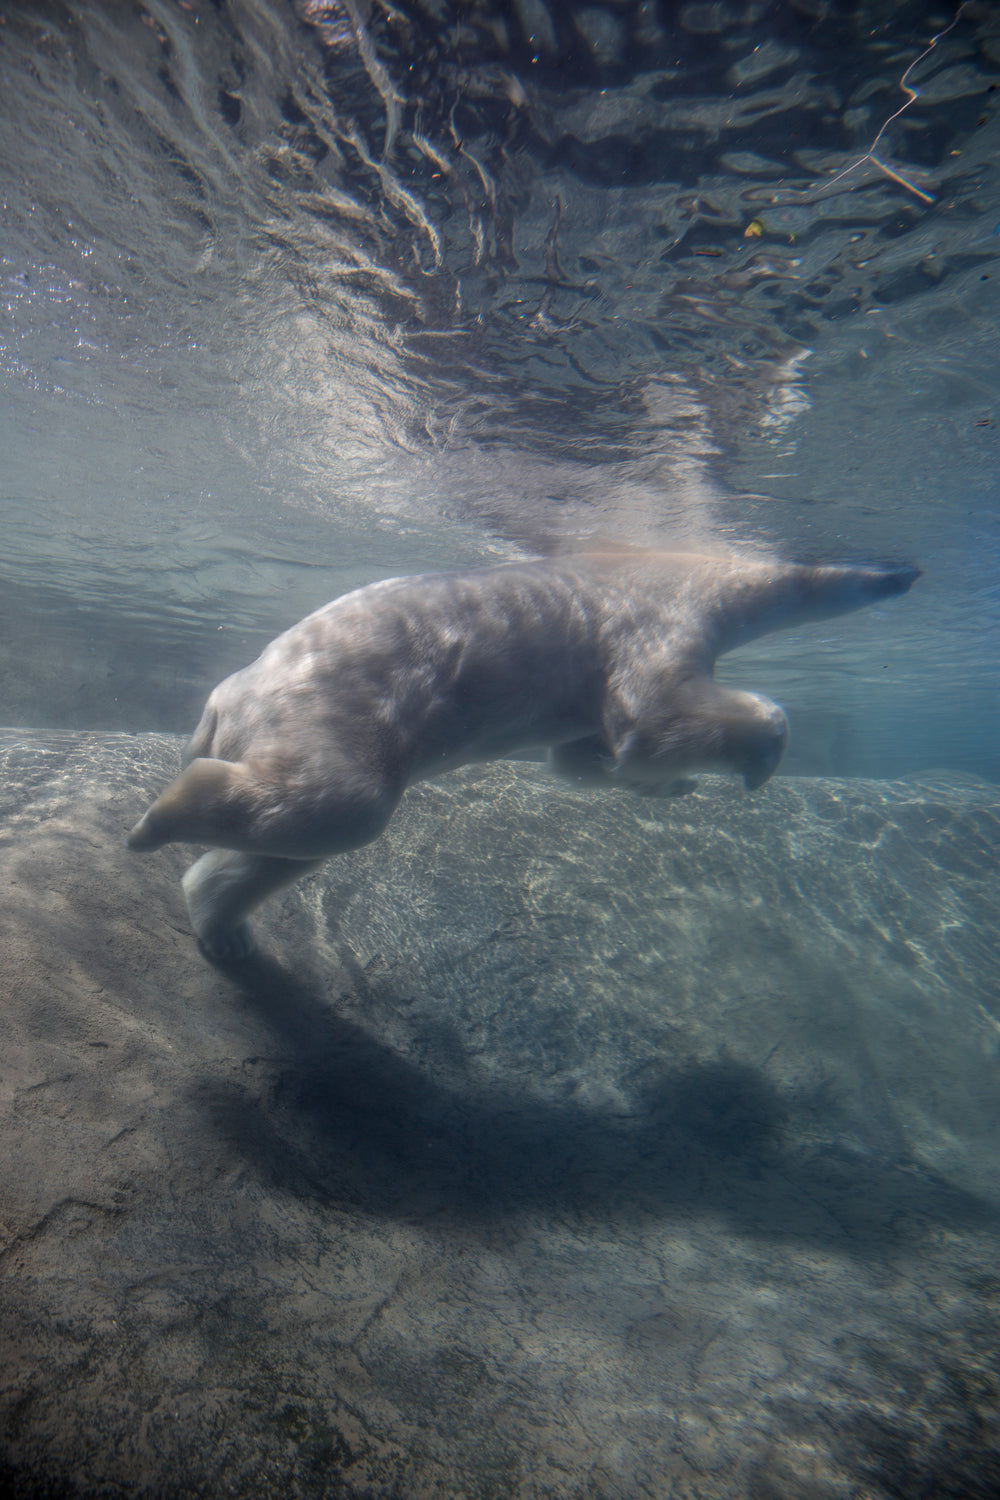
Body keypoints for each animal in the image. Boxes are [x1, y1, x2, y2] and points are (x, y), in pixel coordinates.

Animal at [127, 552, 923, 960]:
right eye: (869, 573)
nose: (907, 573)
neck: (687, 576)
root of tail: (222, 703)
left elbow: (587, 757)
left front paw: (675, 789)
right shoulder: (655, 629)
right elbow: (652, 724)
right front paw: (764, 746)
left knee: (279, 849)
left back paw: (220, 924)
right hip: (329, 710)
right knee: (338, 806)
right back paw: (157, 821)